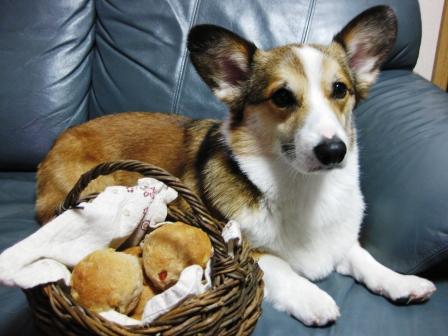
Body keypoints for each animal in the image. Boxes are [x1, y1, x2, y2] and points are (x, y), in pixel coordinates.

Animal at [36, 5, 436, 326]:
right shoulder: (244, 249)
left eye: (340, 89)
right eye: (282, 97)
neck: (302, 188)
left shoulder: (341, 242)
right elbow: (279, 265)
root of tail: (56, 143)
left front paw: (402, 282)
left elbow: (363, 257)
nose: (334, 151)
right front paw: (315, 299)